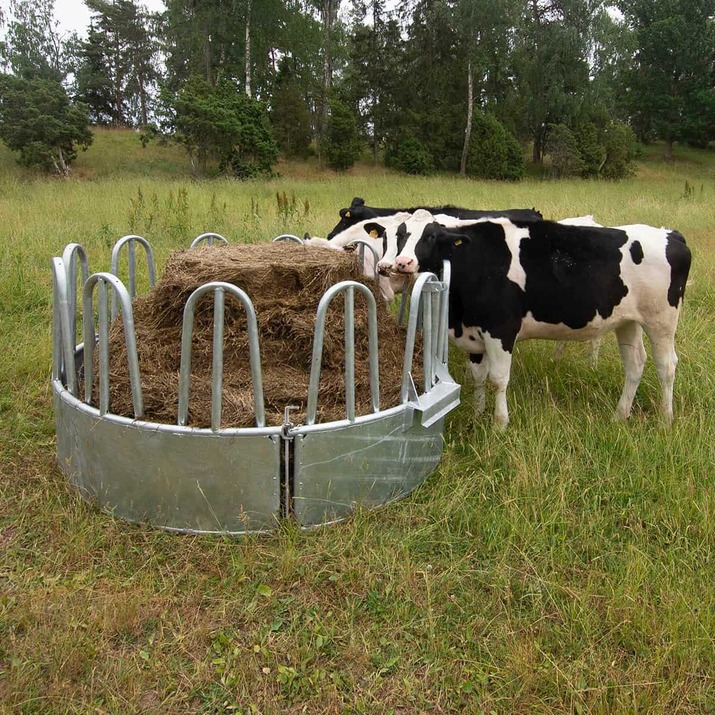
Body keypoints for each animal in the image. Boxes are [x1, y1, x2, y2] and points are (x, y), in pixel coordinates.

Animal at [380, 213, 692, 426]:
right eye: (400, 236)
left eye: (431, 237)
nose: (402, 263)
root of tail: (670, 234)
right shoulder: (473, 334)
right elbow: (479, 377)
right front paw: (478, 413)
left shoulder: (501, 330)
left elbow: (498, 380)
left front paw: (500, 423)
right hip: (628, 321)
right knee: (635, 364)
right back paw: (620, 415)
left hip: (662, 321)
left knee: (666, 366)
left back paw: (665, 418)